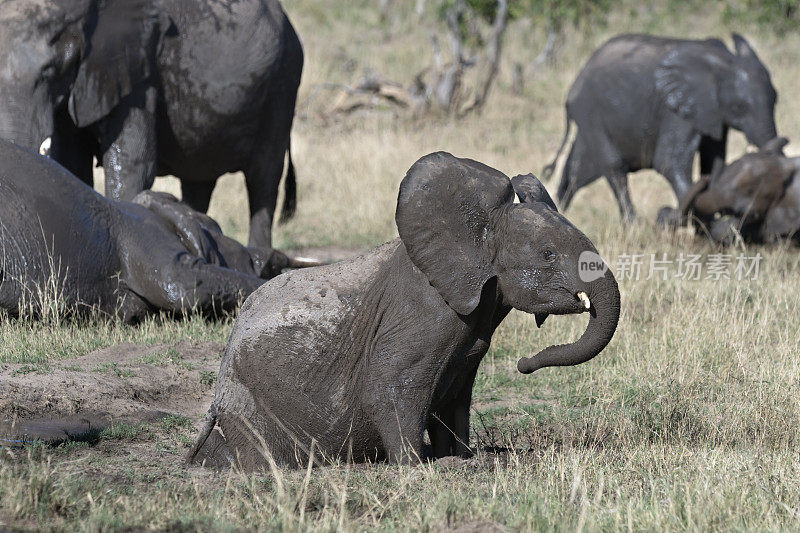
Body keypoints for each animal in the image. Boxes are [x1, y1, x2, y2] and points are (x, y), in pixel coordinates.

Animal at [0, 0, 304, 252]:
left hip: (283, 81)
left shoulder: (136, 67)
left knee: (263, 179)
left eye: (50, 71)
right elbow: (72, 163)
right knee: (199, 182)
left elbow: (132, 164)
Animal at [186, 151, 620, 470]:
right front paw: (418, 467)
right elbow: (390, 387)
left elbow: (456, 400)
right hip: (246, 398)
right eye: (548, 255)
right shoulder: (424, 313)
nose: (524, 365)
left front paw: (460, 458)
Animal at [548, 33, 780, 221]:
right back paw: (633, 226)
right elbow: (669, 162)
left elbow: (715, 163)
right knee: (614, 167)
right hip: (590, 112)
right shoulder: (674, 109)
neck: (723, 60)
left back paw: (560, 210)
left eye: (776, 99)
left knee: (578, 170)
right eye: (740, 107)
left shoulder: (712, 113)